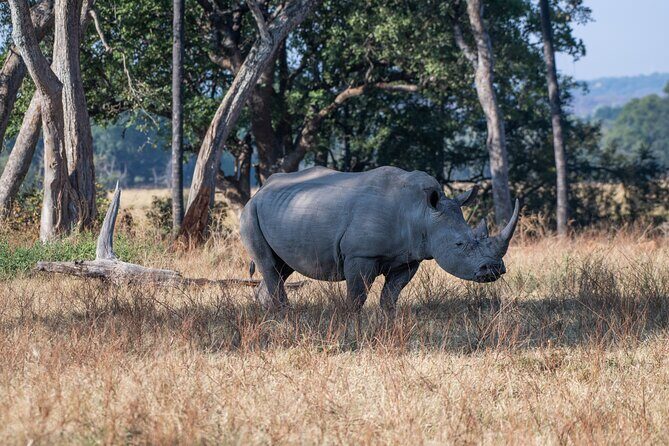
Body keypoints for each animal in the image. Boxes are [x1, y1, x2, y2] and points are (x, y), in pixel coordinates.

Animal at [240, 166, 519, 311]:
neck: (422, 212)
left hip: (282, 211)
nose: (493, 269)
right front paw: (352, 324)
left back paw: (270, 315)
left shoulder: (409, 257)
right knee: (270, 266)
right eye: (460, 245)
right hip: (250, 212)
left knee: (281, 268)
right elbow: (357, 296)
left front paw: (388, 321)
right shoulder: (360, 255)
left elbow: (391, 295)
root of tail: (261, 190)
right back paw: (284, 316)